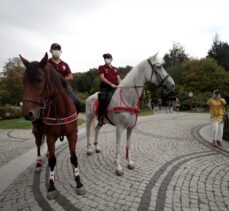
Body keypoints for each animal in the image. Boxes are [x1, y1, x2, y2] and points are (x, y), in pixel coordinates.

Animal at [19, 53, 85, 199]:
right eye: (24, 82)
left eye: (39, 80)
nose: (27, 113)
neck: (59, 109)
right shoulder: (50, 136)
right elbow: (53, 161)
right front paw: (51, 186)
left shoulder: (72, 135)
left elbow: (74, 158)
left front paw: (78, 182)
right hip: (37, 131)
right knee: (39, 145)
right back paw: (39, 163)